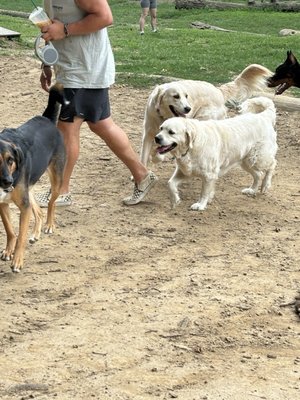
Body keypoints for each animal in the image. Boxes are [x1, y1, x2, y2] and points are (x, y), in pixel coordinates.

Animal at [0, 88, 66, 272]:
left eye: (10, 160)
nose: (8, 182)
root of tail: (46, 119)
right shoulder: (3, 203)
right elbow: (10, 230)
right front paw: (8, 251)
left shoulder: (23, 206)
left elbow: (20, 236)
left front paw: (17, 260)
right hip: (28, 189)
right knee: (38, 210)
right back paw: (36, 232)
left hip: (56, 179)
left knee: (51, 203)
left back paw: (49, 225)